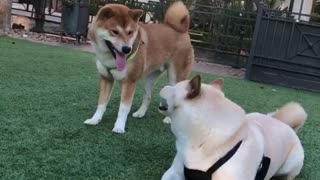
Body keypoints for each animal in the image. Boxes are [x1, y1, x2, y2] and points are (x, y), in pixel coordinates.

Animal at [85, 1, 194, 134]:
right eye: (114, 32)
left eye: (130, 32)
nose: (127, 49)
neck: (111, 59)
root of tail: (182, 30)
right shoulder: (106, 79)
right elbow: (101, 103)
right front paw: (95, 120)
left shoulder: (129, 82)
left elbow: (123, 108)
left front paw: (119, 127)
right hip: (149, 78)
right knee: (148, 97)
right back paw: (140, 113)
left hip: (175, 77)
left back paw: (169, 119)